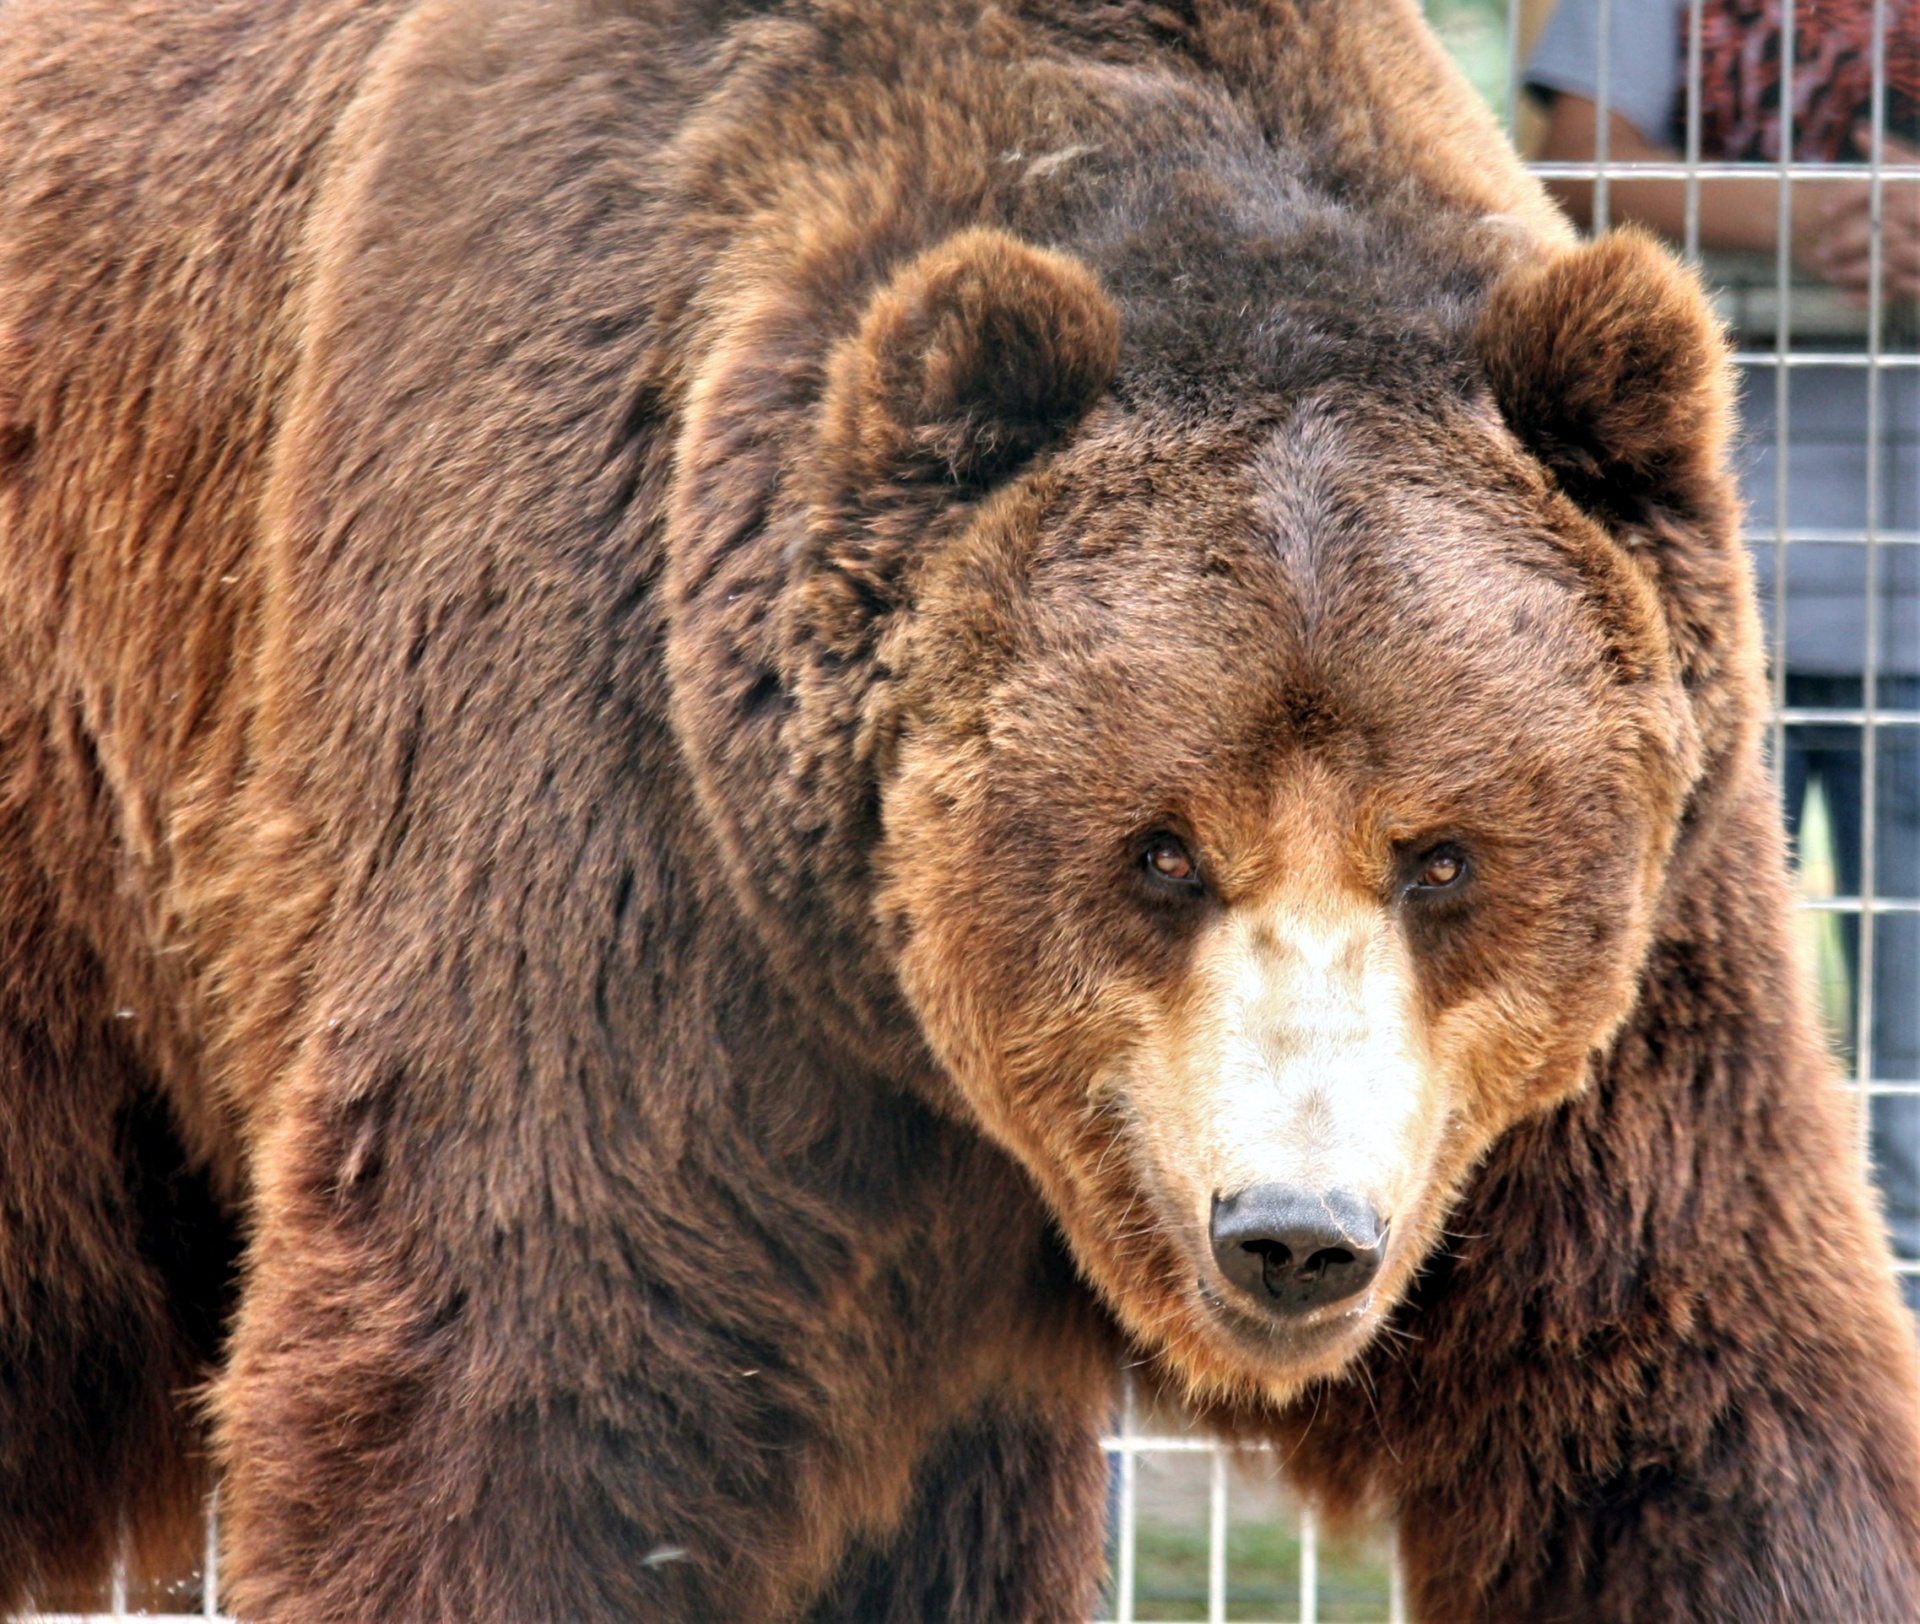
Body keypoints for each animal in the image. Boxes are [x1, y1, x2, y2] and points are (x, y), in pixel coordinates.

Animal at [2, 0, 1918, 1619]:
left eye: (1442, 856)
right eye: (1162, 848)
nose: (1295, 1233)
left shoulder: (1600, 1046)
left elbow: (1695, 1404)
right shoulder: (618, 822)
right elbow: (516, 1390)